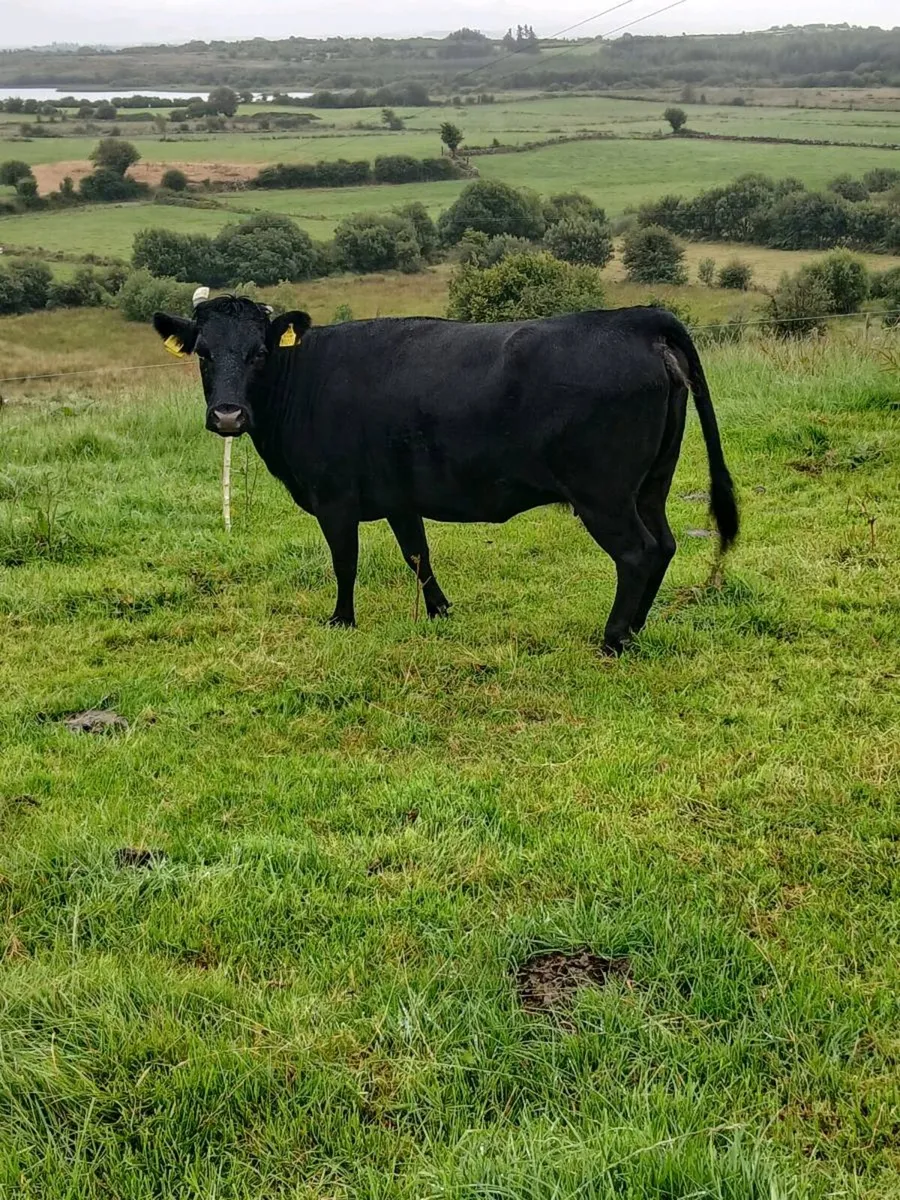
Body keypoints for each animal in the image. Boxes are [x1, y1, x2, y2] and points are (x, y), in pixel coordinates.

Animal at [152, 298, 738, 654]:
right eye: (203, 354)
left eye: (259, 353)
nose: (228, 415)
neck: (305, 378)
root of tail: (636, 318)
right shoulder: (399, 496)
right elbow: (418, 554)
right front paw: (440, 611)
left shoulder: (335, 498)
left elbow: (345, 562)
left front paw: (341, 620)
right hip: (650, 485)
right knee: (664, 545)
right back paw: (636, 628)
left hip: (605, 494)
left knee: (638, 552)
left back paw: (614, 638)